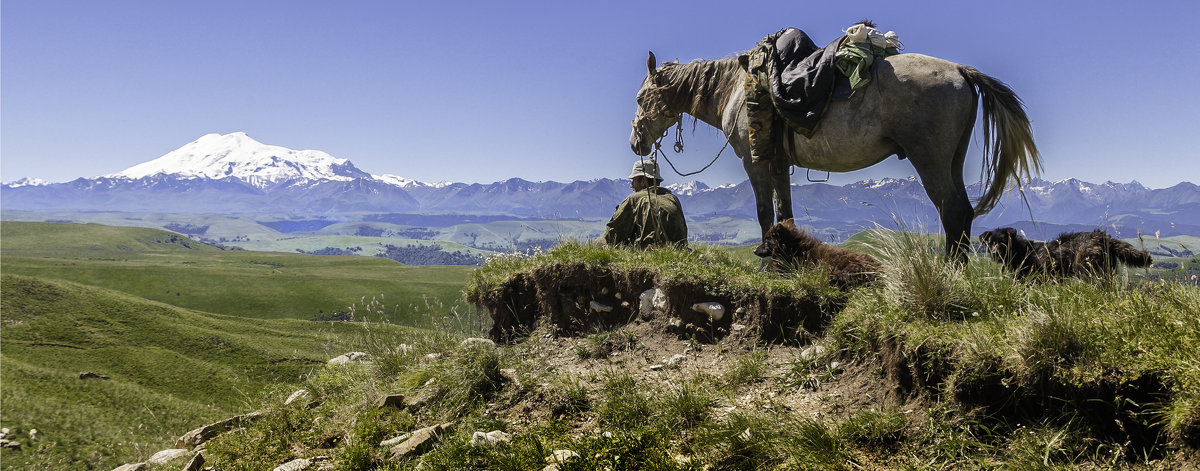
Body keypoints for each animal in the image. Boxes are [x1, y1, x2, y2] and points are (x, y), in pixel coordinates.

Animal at [628, 48, 1041, 263]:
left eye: (640, 97)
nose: (636, 142)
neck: (734, 90)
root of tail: (959, 70)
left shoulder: (756, 162)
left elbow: (764, 213)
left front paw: (767, 259)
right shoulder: (780, 164)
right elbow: (785, 213)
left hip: (931, 161)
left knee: (952, 212)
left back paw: (950, 272)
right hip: (951, 160)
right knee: (963, 214)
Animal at [979, 227, 1156, 277]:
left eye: (1003, 243)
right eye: (990, 243)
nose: (995, 253)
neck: (1021, 252)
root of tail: (1101, 237)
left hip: (1087, 269)